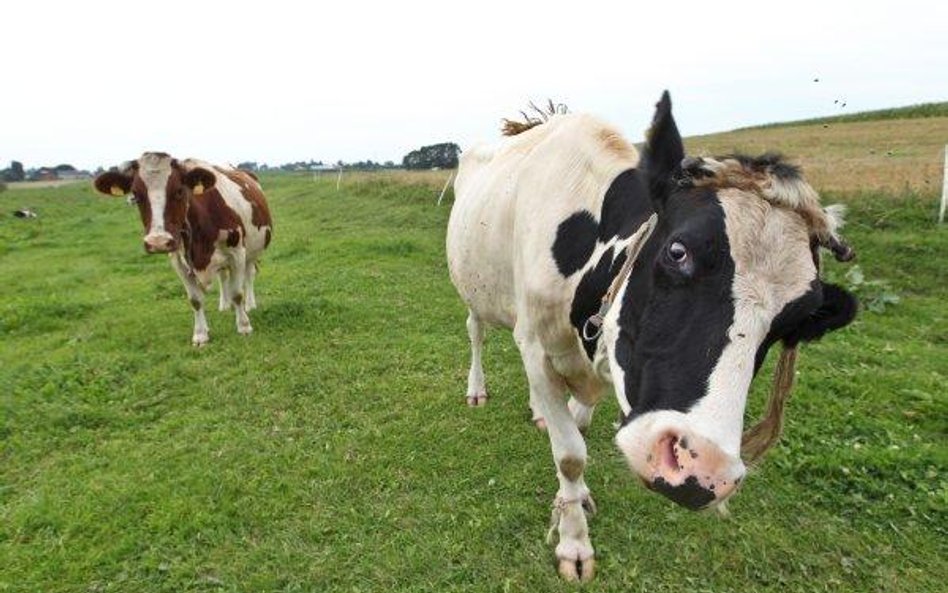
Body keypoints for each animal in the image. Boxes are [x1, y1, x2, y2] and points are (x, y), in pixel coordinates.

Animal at [94, 153, 272, 344]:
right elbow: (195, 300)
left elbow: (237, 293)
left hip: (252, 251)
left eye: (179, 190)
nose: (158, 241)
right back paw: (224, 306)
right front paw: (200, 334)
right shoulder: (178, 261)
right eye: (135, 194)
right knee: (223, 276)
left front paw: (244, 326)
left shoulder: (237, 252)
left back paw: (250, 305)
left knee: (249, 274)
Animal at [446, 92, 860, 580]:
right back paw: (477, 389)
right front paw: (574, 543)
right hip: (473, 290)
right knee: (476, 331)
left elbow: (577, 428)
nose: (702, 469)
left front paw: (575, 497)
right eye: (677, 251)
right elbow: (570, 454)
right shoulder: (537, 346)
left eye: (799, 317)